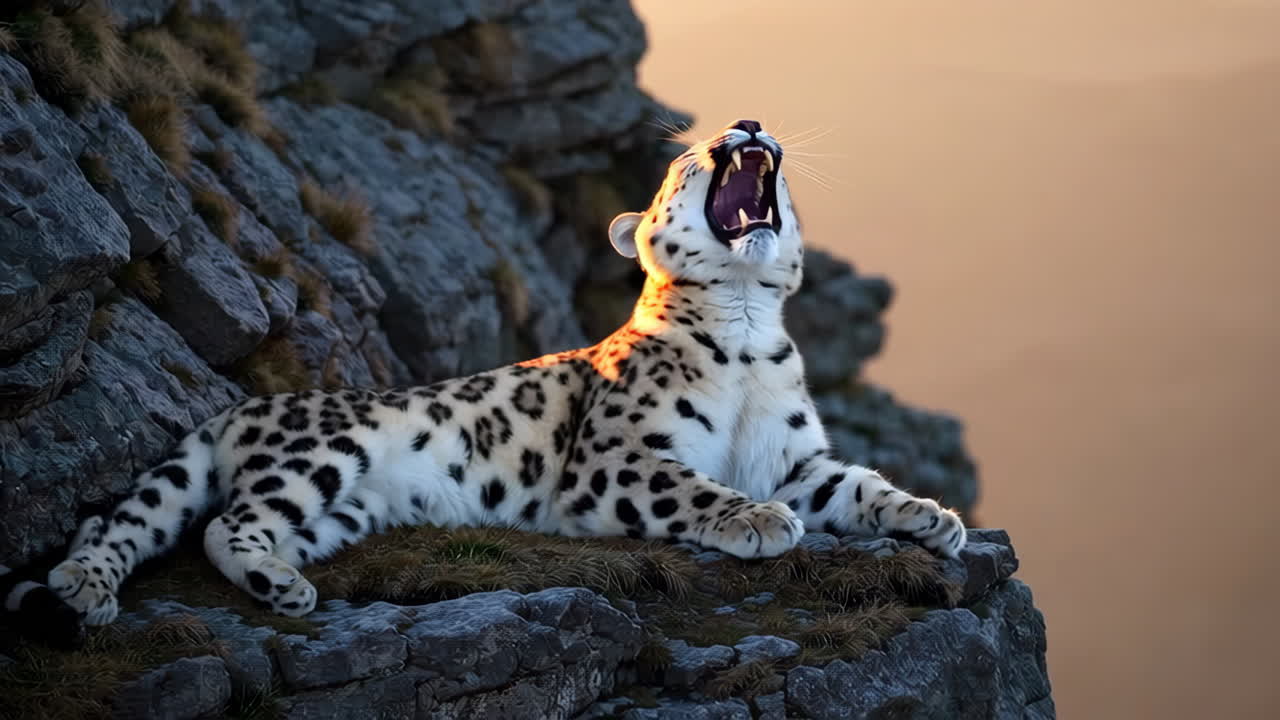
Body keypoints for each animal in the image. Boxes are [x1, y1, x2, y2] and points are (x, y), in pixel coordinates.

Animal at [32, 119, 965, 633]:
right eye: (684, 165)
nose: (745, 123)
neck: (744, 324)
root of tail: (239, 414)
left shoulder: (794, 458)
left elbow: (856, 484)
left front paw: (932, 516)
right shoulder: (615, 460)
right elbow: (692, 487)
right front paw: (759, 522)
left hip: (340, 510)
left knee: (171, 526)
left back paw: (268, 584)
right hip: (318, 458)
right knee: (218, 524)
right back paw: (268, 586)